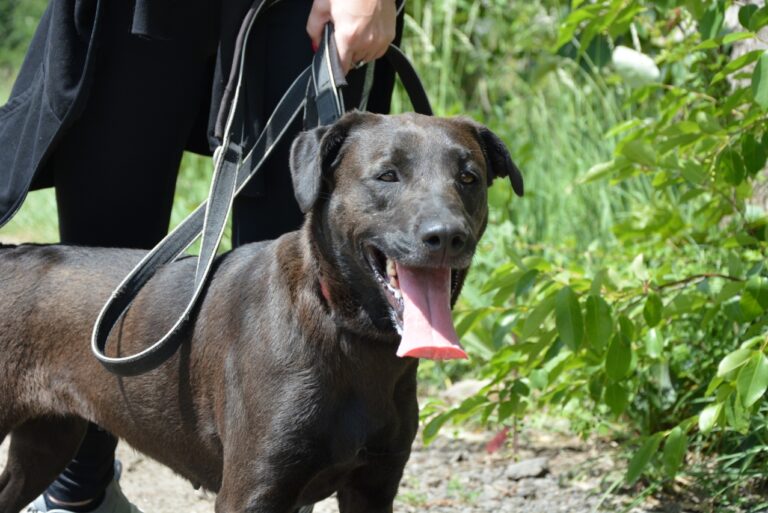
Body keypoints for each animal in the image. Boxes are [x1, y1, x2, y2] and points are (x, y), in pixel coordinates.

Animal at [0, 110, 520, 510]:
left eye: (469, 178)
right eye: (387, 175)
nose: (446, 235)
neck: (344, 329)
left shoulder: (373, 487)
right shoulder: (252, 490)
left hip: (49, 440)